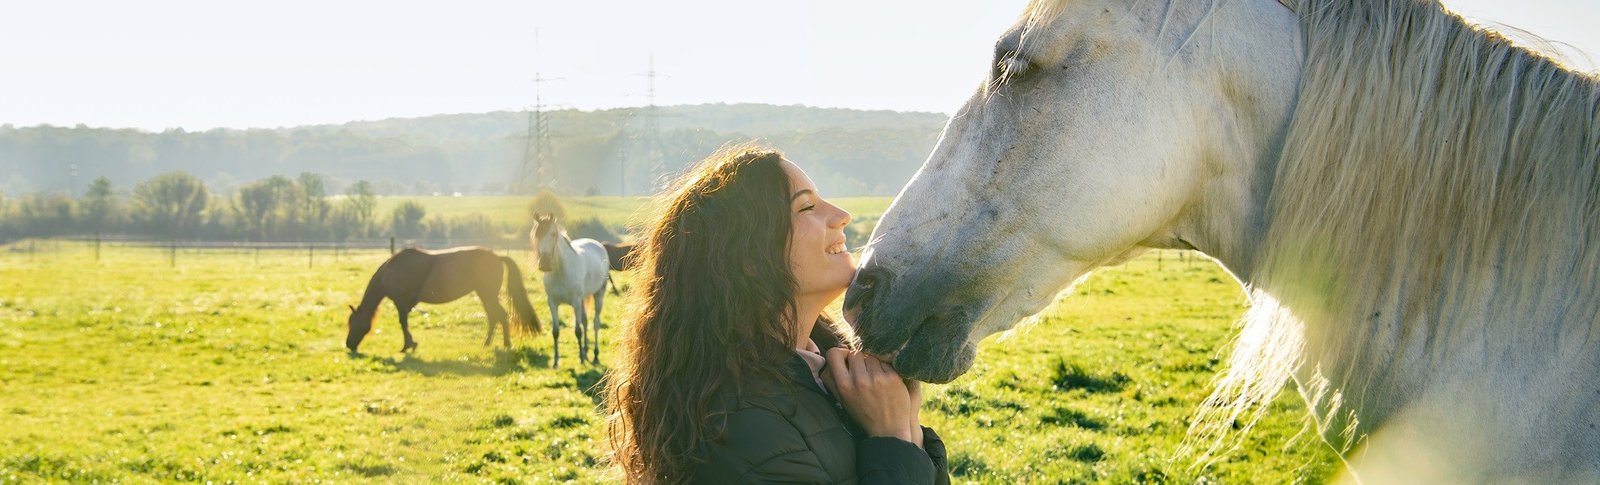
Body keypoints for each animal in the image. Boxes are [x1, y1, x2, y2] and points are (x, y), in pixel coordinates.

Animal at [346, 246, 541, 353]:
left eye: (353, 323)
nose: (348, 345)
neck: (392, 270)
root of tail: (497, 257)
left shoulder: (401, 304)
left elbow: (403, 324)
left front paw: (408, 345)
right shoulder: (405, 305)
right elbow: (404, 323)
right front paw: (410, 344)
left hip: (487, 295)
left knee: (500, 316)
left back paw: (505, 344)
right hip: (485, 295)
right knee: (494, 317)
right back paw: (487, 344)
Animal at [531, 214, 611, 367]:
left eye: (553, 234)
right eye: (537, 235)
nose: (544, 264)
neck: (561, 271)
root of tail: (599, 245)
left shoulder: (575, 302)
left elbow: (577, 330)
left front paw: (581, 359)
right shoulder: (552, 303)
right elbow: (556, 331)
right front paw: (556, 361)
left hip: (598, 295)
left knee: (595, 323)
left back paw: (595, 355)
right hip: (583, 299)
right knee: (585, 322)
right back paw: (585, 350)